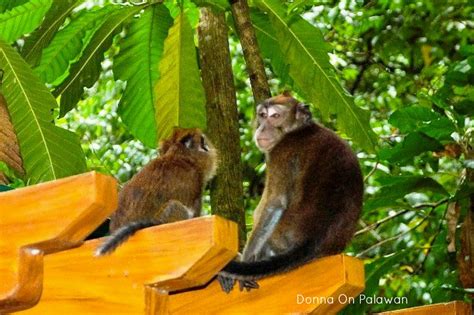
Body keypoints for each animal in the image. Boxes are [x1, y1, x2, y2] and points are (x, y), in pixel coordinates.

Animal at [218, 92, 362, 292]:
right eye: (262, 115)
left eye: (275, 116)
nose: (262, 128)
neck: (297, 130)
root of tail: (310, 240)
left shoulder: (281, 152)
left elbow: (275, 203)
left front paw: (244, 260)